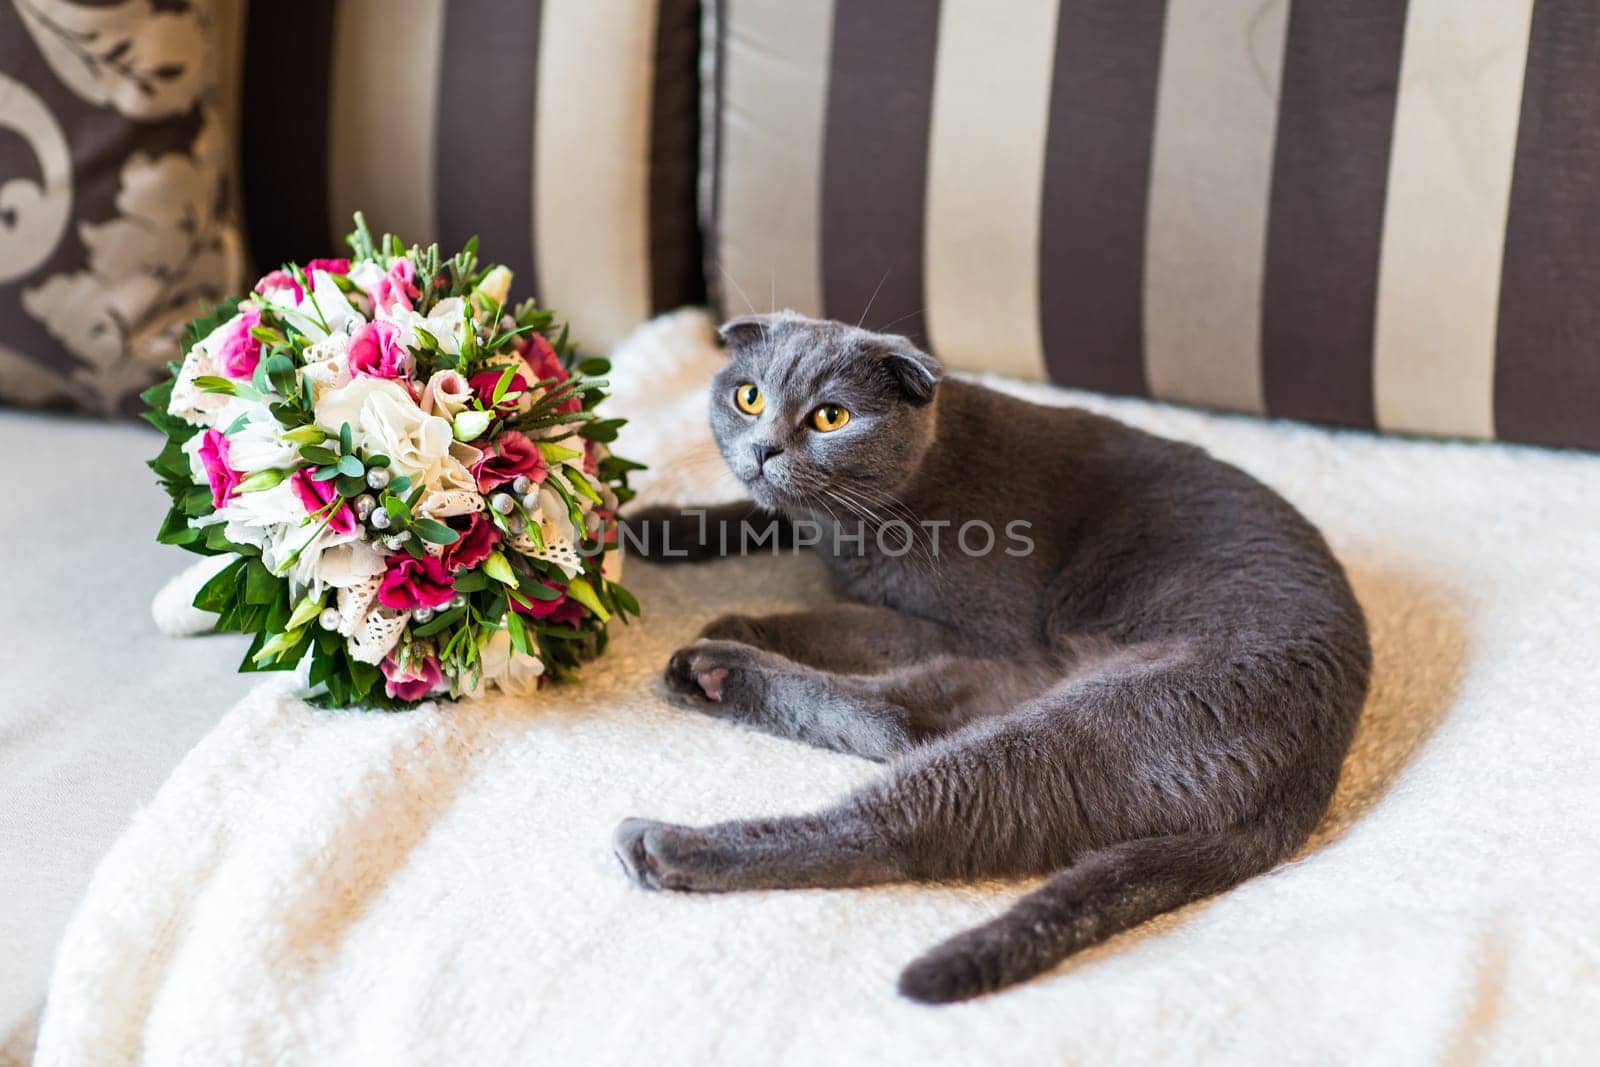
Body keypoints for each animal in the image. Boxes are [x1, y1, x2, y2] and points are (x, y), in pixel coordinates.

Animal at [617, 313, 1369, 1004]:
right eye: (747, 397)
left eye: (831, 417)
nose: (765, 447)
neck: (859, 523)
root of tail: (1310, 775)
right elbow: (758, 512)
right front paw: (652, 526)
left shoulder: (975, 630)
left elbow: (843, 618)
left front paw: (740, 614)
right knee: (903, 724)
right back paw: (708, 678)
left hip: (1088, 715)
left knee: (894, 796)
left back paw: (673, 814)